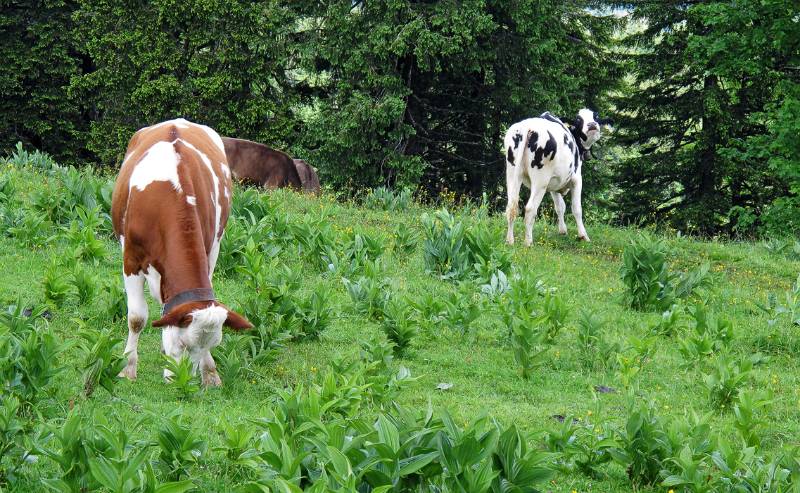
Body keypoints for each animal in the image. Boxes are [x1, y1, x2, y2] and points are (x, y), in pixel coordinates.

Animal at [111, 117, 252, 386]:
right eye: (183, 343)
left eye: (211, 345)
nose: (182, 381)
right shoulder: (130, 258)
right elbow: (137, 318)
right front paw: (127, 367)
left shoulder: (208, 250)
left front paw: (210, 372)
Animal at [504, 108, 608, 246]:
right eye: (578, 119)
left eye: (595, 116)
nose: (592, 125)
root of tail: (527, 126)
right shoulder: (576, 180)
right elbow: (576, 209)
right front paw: (583, 236)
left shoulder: (554, 184)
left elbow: (560, 207)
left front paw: (562, 230)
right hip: (540, 181)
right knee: (530, 208)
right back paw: (528, 242)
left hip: (512, 173)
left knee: (511, 206)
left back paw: (510, 240)